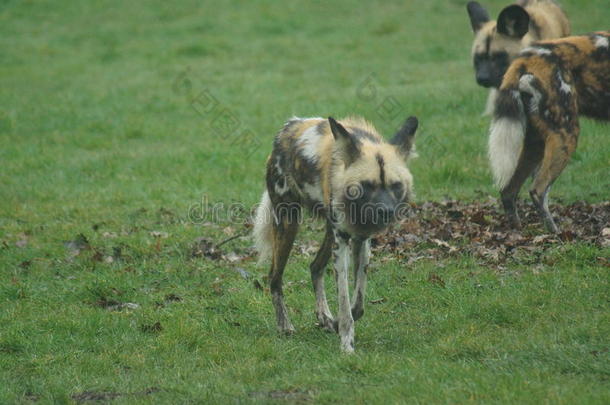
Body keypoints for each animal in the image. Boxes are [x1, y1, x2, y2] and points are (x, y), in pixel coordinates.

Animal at [252, 116, 418, 350]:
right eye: (367, 185)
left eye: (395, 185)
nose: (385, 211)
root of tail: (288, 127)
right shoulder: (342, 245)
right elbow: (345, 302)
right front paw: (347, 344)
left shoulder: (362, 240)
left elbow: (358, 305)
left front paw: (337, 324)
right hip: (288, 225)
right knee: (274, 278)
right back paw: (285, 326)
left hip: (329, 231)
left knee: (315, 267)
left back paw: (324, 317)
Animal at [486, 31, 608, 232]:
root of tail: (526, 58)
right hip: (566, 134)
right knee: (538, 191)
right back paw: (556, 233)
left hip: (536, 142)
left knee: (508, 190)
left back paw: (517, 229)